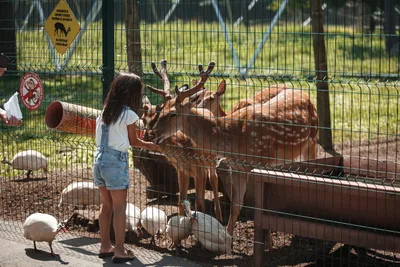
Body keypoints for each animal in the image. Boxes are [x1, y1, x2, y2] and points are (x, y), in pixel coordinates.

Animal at [141, 59, 223, 223]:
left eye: (172, 113)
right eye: (143, 118)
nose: (150, 135)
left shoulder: (199, 168)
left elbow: (199, 202)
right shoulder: (181, 169)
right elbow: (180, 201)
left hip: (211, 161)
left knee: (214, 178)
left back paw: (219, 216)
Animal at [150, 81, 318, 234]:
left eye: (172, 113)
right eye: (160, 110)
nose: (152, 134)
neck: (234, 136)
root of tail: (305, 93)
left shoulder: (264, 162)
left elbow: (262, 207)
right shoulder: (237, 168)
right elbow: (236, 205)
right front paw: (228, 238)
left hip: (313, 138)